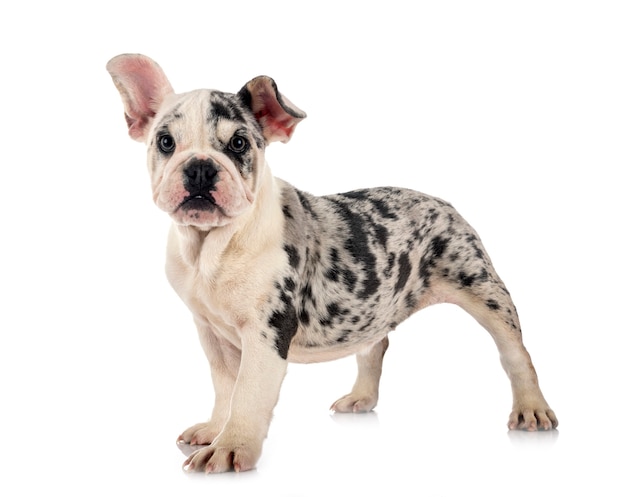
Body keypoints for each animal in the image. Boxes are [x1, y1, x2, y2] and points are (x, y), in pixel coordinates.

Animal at [107, 54, 556, 472]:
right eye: (165, 142)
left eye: (238, 144)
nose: (200, 167)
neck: (210, 245)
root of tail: (443, 203)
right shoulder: (210, 330)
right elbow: (224, 386)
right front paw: (214, 429)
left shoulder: (267, 332)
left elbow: (247, 393)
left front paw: (231, 447)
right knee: (374, 346)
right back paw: (361, 397)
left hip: (483, 287)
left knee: (516, 353)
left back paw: (531, 409)